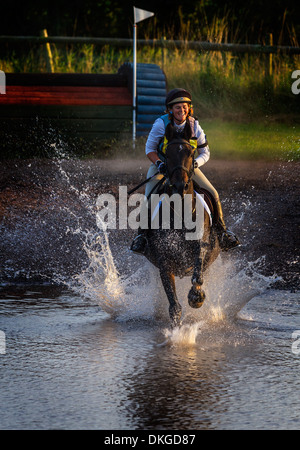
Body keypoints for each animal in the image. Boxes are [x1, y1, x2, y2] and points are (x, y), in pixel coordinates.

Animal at [141, 123, 220, 326]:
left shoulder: (201, 246)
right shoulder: (164, 262)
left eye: (191, 153)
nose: (179, 186)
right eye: (167, 155)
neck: (180, 212)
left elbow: (198, 272)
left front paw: (196, 297)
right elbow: (174, 305)